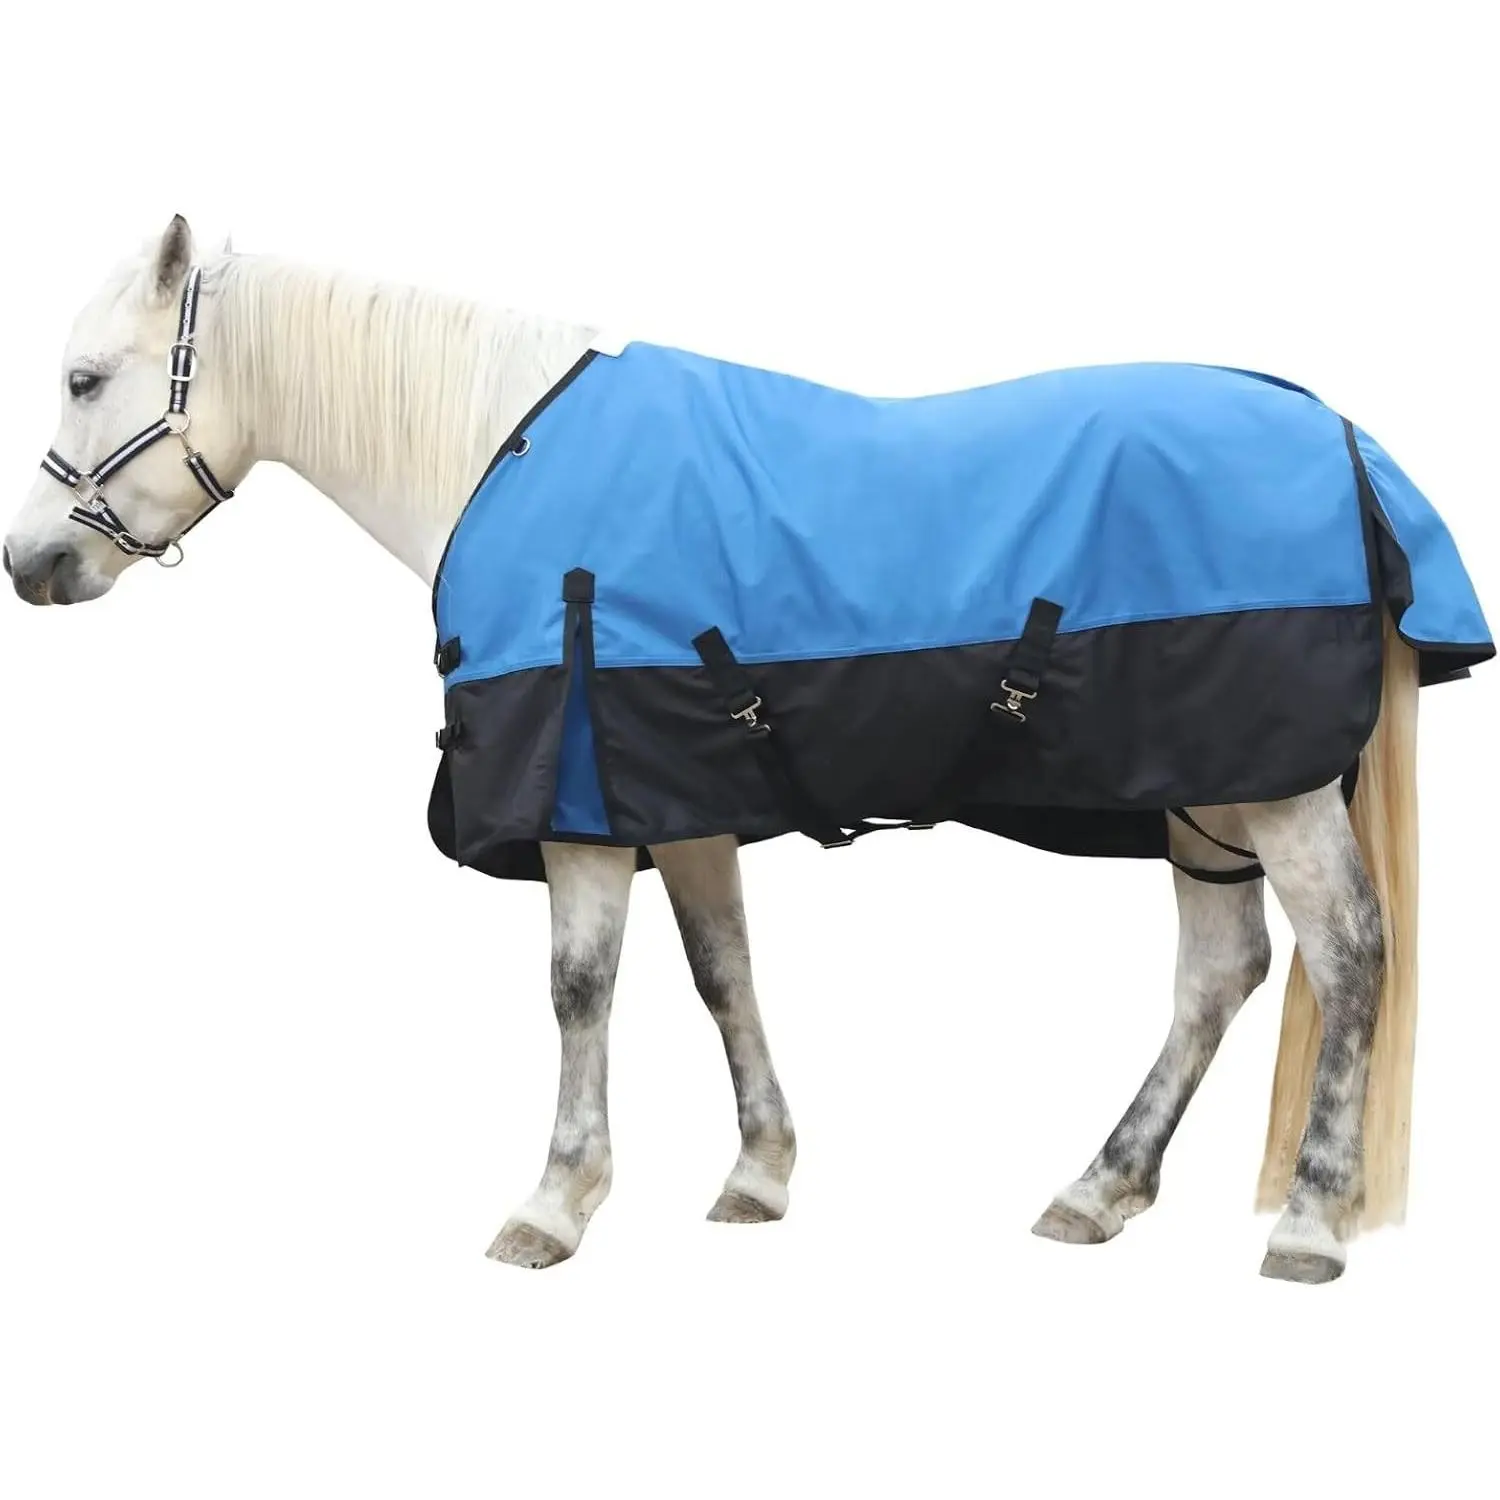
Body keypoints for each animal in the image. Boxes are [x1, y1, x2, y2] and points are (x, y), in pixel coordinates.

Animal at [6, 216, 1487, 1283]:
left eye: (84, 379)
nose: (30, 566)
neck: (501, 448)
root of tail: (1352, 451)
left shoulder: (582, 801)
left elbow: (579, 988)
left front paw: (556, 1202)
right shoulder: (679, 793)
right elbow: (721, 973)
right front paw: (758, 1175)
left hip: (1271, 788)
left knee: (1350, 957)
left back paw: (1307, 1225)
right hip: (1202, 793)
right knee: (1221, 972)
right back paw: (1098, 1189)